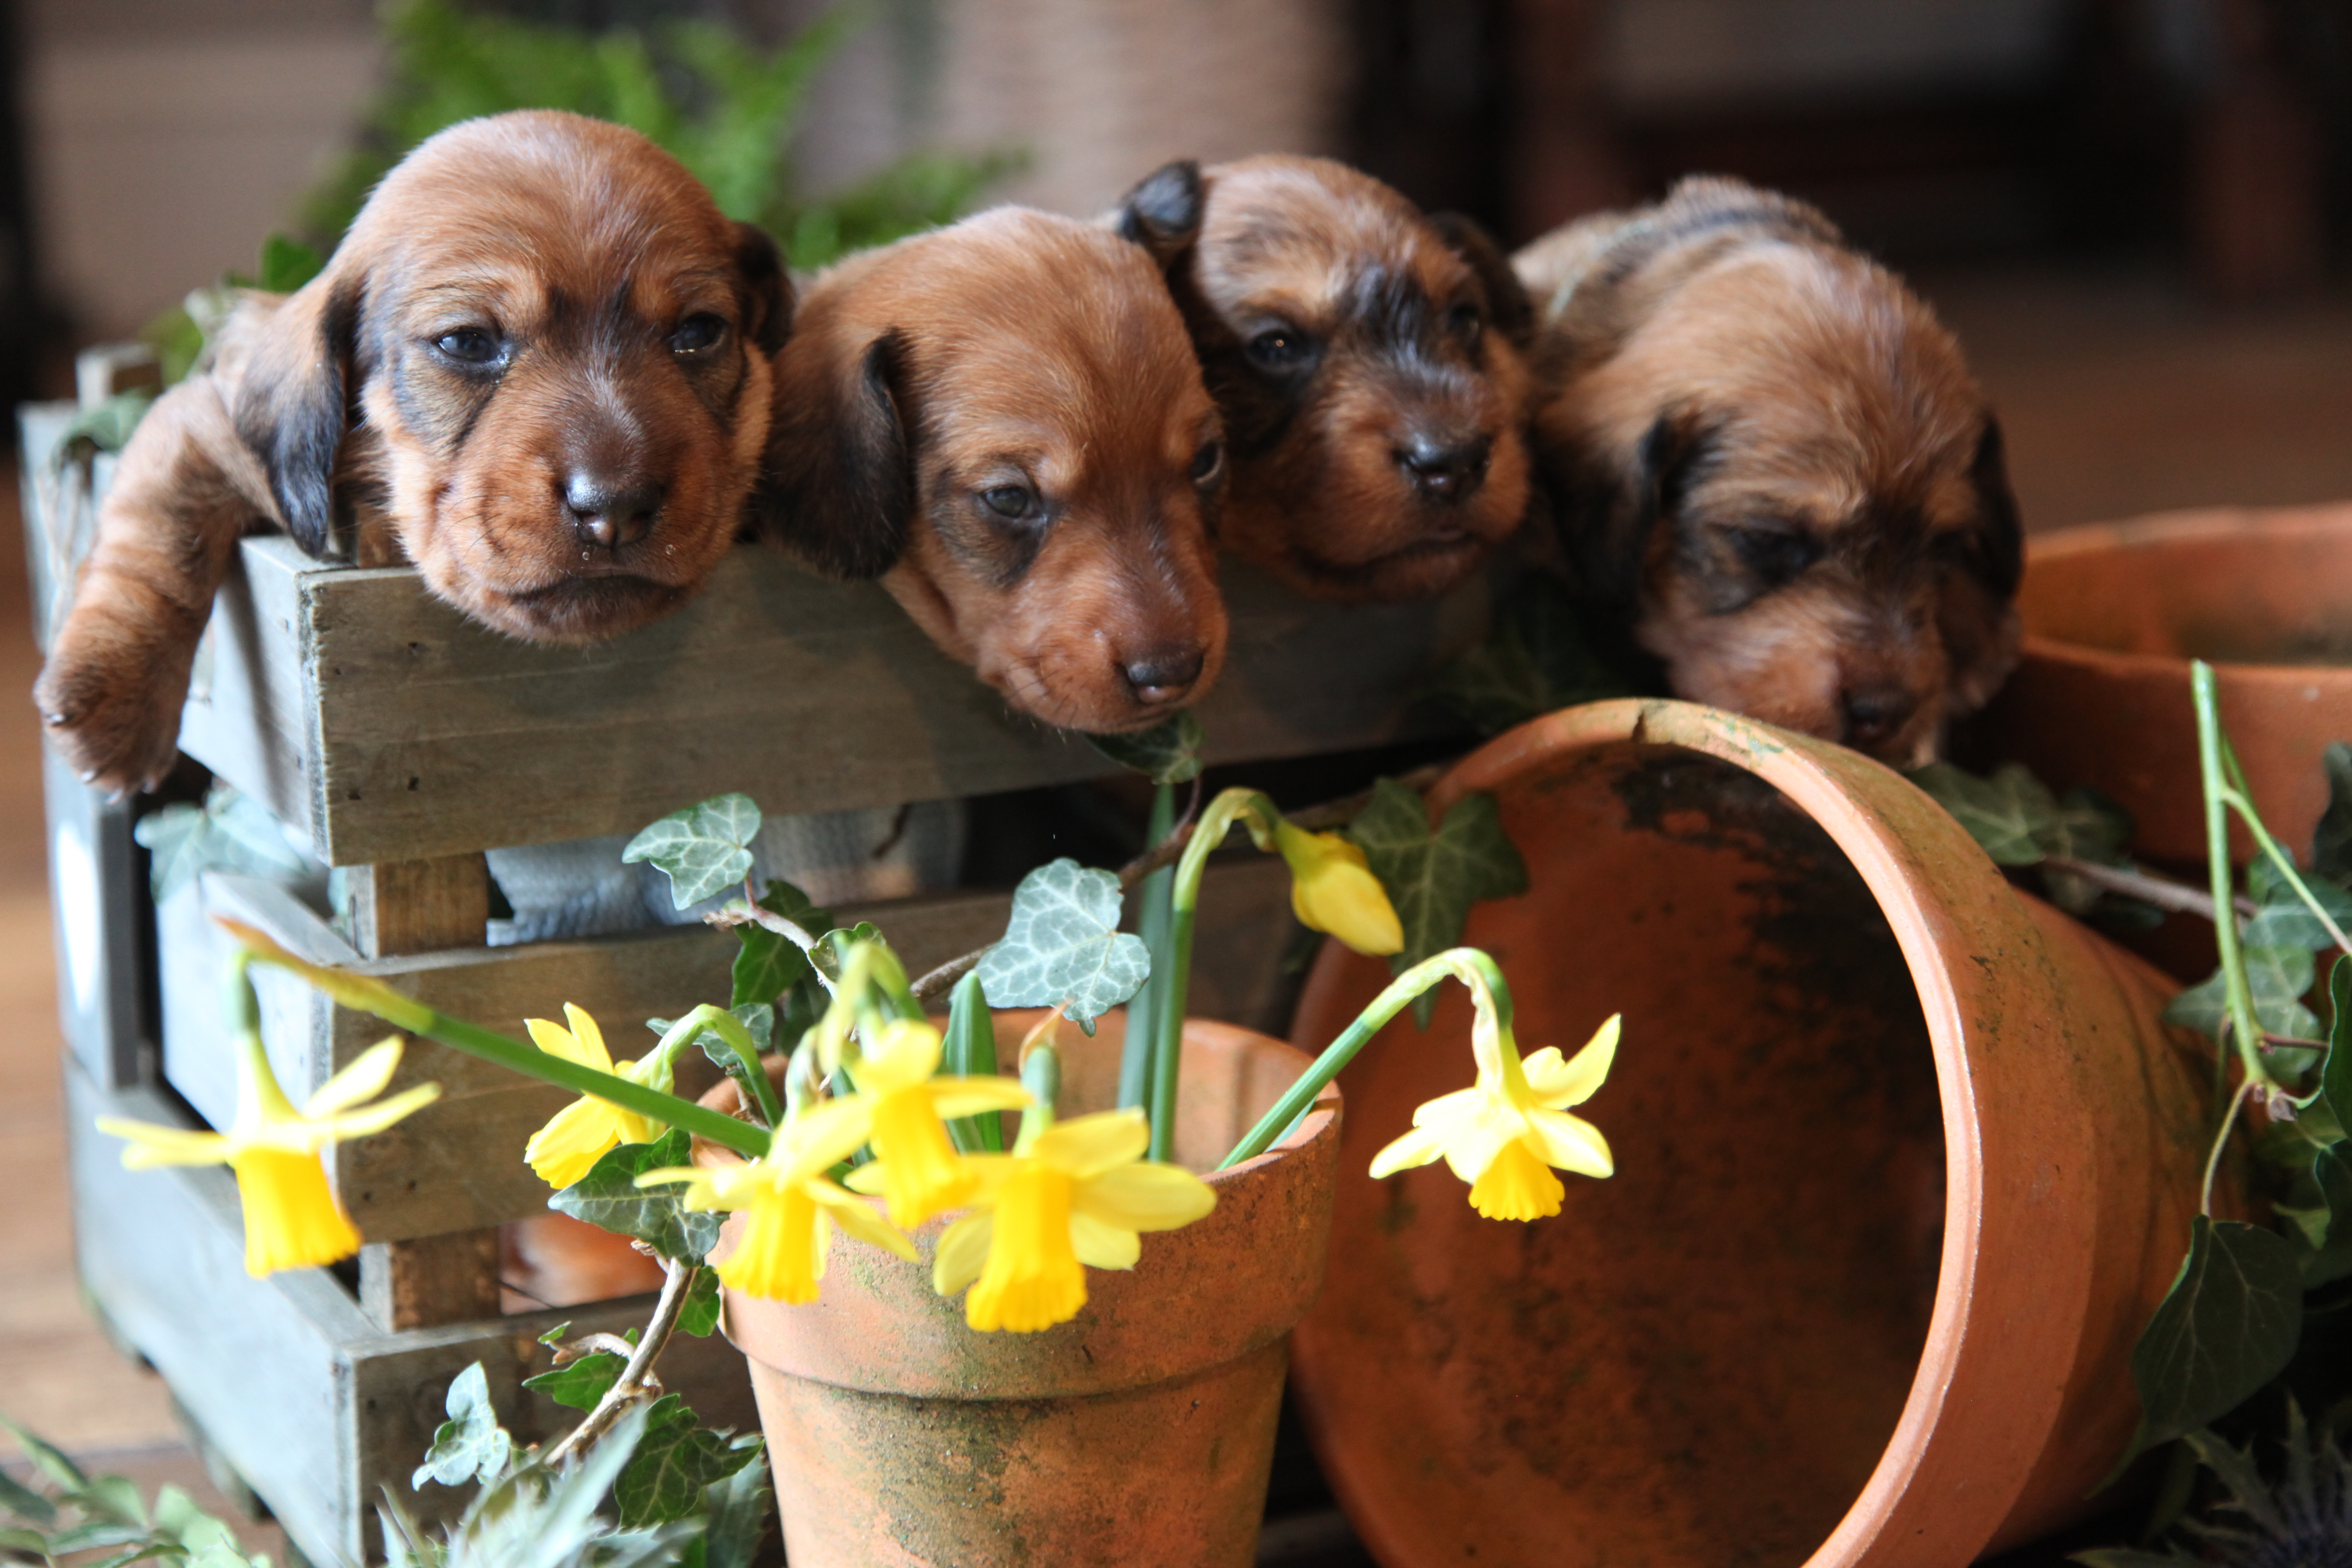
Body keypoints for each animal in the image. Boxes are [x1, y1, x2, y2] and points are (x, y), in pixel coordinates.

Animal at [36, 107, 790, 799]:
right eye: (467, 342)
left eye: (699, 332)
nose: (614, 510)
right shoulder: (207, 420)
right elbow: (158, 535)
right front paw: (111, 696)